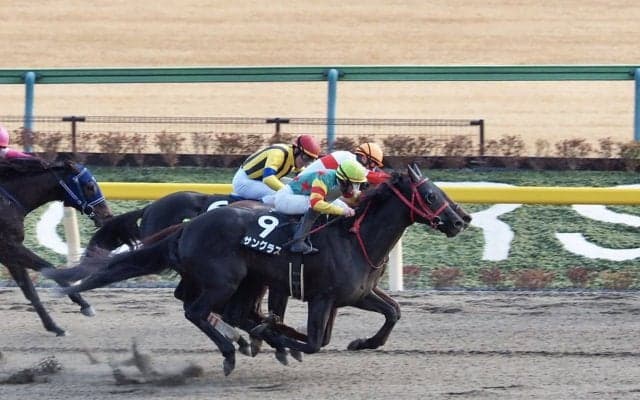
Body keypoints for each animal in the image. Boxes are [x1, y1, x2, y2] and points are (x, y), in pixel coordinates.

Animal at [0, 158, 113, 336]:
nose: (108, 216)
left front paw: (54, 327)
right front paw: (85, 305)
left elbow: (30, 291)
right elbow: (49, 268)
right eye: (90, 186)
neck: (7, 203)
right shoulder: (10, 246)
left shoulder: (8, 253)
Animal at [55, 164, 468, 374]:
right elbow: (315, 342)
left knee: (223, 310)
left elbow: (393, 312)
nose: (460, 219)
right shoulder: (321, 297)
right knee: (196, 309)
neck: (356, 237)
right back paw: (233, 349)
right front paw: (278, 340)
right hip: (224, 279)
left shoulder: (357, 293)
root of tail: (187, 225)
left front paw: (362, 343)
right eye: (430, 194)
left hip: (243, 281)